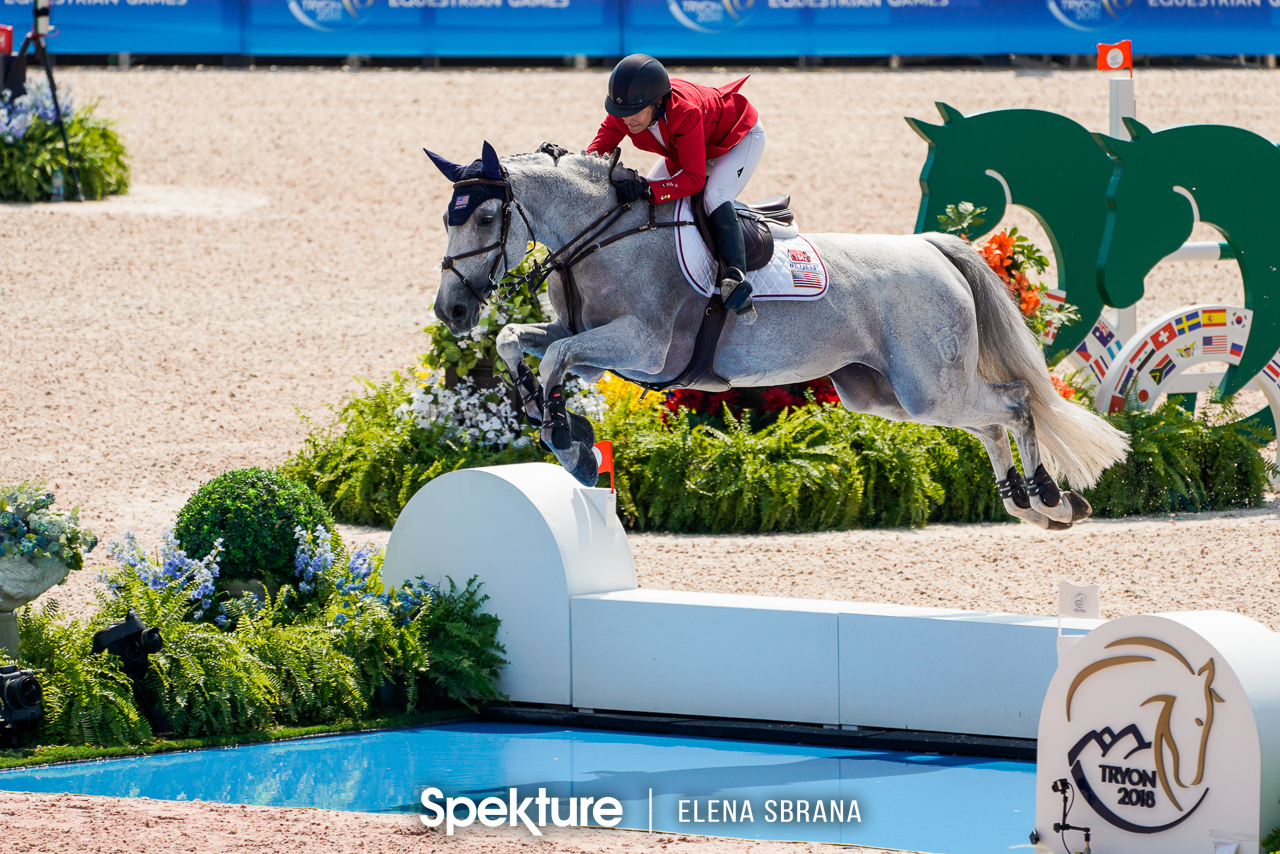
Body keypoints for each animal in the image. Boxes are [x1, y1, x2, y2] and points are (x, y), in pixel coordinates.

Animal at [424, 143, 1126, 530]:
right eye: (448, 219)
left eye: (485, 217)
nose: (452, 310)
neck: (603, 235)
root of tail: (933, 249)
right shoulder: (590, 344)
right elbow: (521, 342)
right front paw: (551, 422)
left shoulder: (642, 347)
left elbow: (555, 359)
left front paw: (567, 439)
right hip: (887, 394)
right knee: (987, 422)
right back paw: (1027, 505)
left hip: (927, 385)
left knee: (1014, 403)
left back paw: (1051, 499)